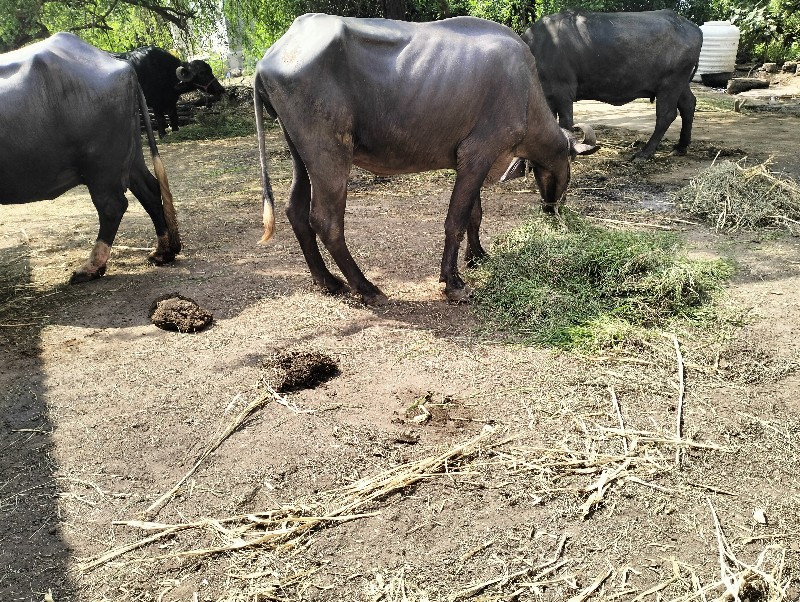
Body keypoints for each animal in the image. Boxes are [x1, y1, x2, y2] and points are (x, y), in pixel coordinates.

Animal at [0, 34, 181, 282]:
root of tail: (122, 65)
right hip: (130, 155)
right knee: (150, 190)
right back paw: (162, 252)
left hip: (101, 166)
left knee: (112, 206)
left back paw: (90, 267)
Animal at [253, 14, 596, 304]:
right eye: (568, 169)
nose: (555, 211)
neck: (525, 94)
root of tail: (268, 59)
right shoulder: (478, 154)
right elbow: (456, 220)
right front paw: (453, 283)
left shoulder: (470, 162)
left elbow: (474, 214)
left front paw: (477, 256)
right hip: (330, 156)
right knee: (326, 220)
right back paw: (366, 288)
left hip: (300, 155)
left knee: (296, 210)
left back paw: (327, 280)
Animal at [524, 10, 700, 159]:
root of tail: (692, 28)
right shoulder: (547, 95)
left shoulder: (562, 90)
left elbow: (566, 122)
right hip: (681, 83)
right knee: (688, 105)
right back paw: (681, 147)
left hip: (670, 84)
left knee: (666, 115)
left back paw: (645, 153)